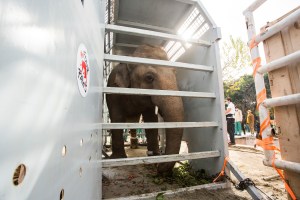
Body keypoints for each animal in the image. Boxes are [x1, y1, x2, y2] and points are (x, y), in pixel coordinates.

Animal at [105, 44, 185, 174]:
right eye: (149, 77)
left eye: (175, 73)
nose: (158, 167)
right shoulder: (113, 91)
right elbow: (116, 118)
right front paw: (117, 158)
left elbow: (151, 120)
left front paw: (154, 156)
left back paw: (134, 146)